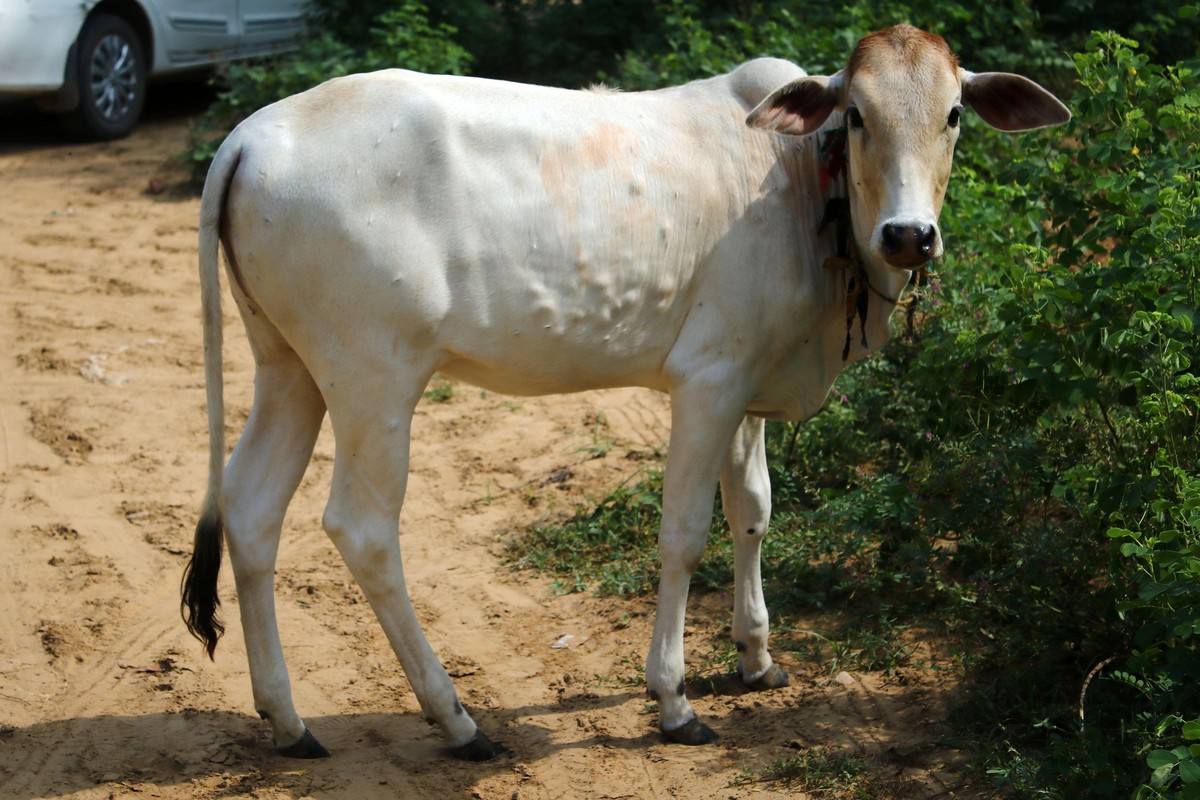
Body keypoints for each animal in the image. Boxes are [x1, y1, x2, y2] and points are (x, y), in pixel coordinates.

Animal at [182, 24, 1069, 761]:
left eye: (954, 115)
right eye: (855, 115)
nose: (910, 235)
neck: (796, 183)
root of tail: (252, 134)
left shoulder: (747, 386)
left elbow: (753, 510)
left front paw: (757, 659)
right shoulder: (707, 380)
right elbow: (683, 535)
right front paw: (673, 701)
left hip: (289, 367)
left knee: (252, 511)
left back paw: (288, 722)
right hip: (373, 377)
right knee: (362, 530)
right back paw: (457, 721)